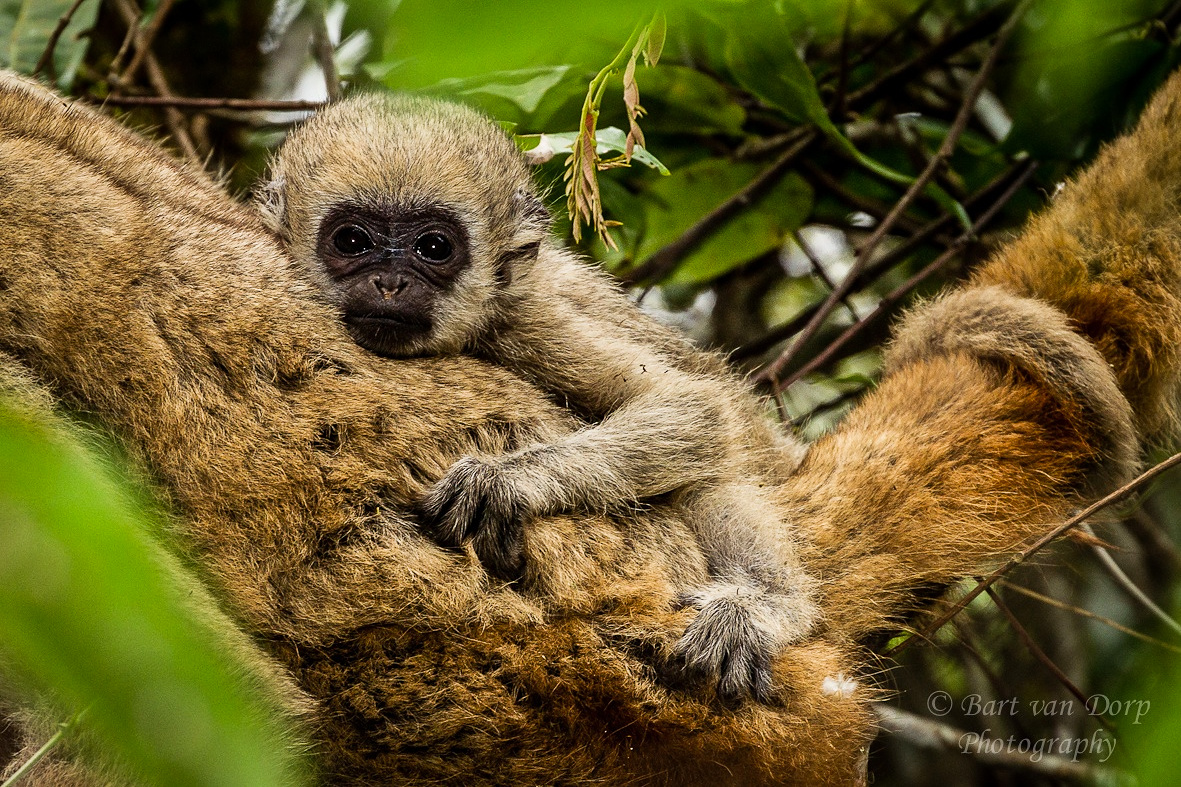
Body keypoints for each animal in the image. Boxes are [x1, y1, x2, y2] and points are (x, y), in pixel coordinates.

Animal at [257, 92, 817, 699]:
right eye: (352, 241)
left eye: (433, 248)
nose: (389, 283)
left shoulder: (526, 319)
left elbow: (696, 408)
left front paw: (502, 482)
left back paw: (765, 606)